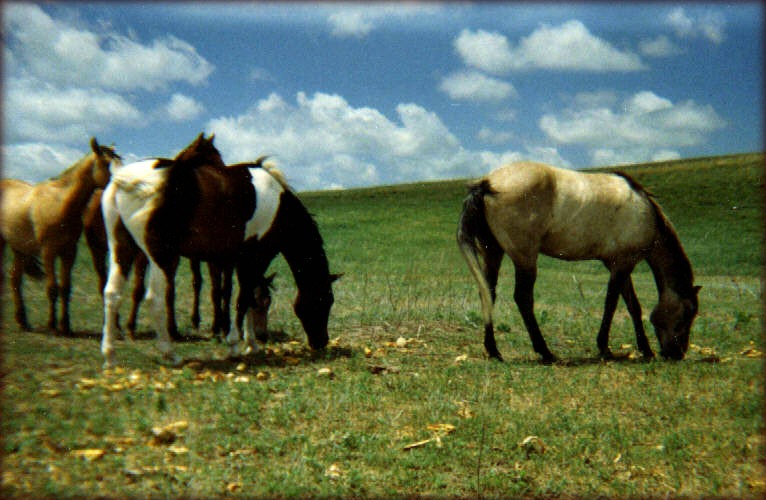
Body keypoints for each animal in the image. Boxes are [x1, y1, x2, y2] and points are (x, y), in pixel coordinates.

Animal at [0, 138, 121, 336]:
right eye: (105, 163)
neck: (61, 203)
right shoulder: (48, 252)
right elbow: (52, 288)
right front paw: (52, 326)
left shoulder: (69, 252)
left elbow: (65, 288)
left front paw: (65, 326)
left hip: (20, 248)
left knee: (15, 278)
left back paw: (23, 322)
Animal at [100, 133, 340, 368]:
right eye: (324, 300)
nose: (321, 342)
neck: (278, 206)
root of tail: (126, 178)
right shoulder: (254, 258)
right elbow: (243, 299)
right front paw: (234, 345)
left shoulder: (239, 260)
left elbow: (246, 298)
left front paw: (251, 343)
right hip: (161, 257)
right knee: (154, 299)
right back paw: (170, 354)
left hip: (122, 250)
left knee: (112, 294)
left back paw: (110, 356)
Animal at [456, 162, 704, 362]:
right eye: (688, 313)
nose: (677, 353)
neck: (645, 212)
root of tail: (488, 183)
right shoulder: (623, 264)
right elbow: (612, 304)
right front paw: (605, 348)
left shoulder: (618, 264)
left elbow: (633, 306)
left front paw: (645, 349)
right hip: (525, 258)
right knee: (523, 299)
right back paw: (545, 352)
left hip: (493, 252)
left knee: (488, 293)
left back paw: (494, 351)